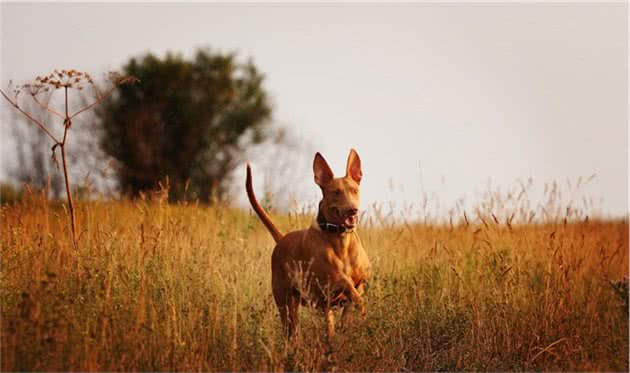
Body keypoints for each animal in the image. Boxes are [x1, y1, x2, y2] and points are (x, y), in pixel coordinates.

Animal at [246, 148, 376, 338]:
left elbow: (352, 299)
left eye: (354, 190)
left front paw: (352, 315)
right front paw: (360, 305)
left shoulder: (362, 281)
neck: (341, 240)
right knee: (292, 330)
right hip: (286, 303)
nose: (353, 210)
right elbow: (343, 281)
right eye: (336, 192)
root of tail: (282, 238)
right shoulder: (327, 285)